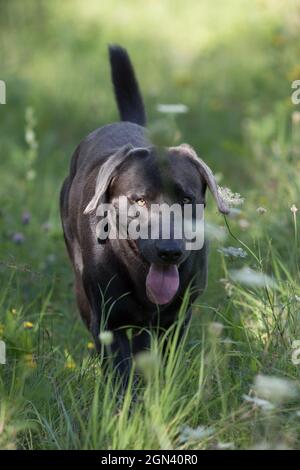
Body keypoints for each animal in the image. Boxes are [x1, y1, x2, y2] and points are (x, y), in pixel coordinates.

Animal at [61, 44, 230, 384]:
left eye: (187, 199)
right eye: (139, 201)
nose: (170, 251)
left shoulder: (176, 319)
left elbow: (163, 362)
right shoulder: (109, 321)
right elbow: (121, 370)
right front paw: (126, 396)